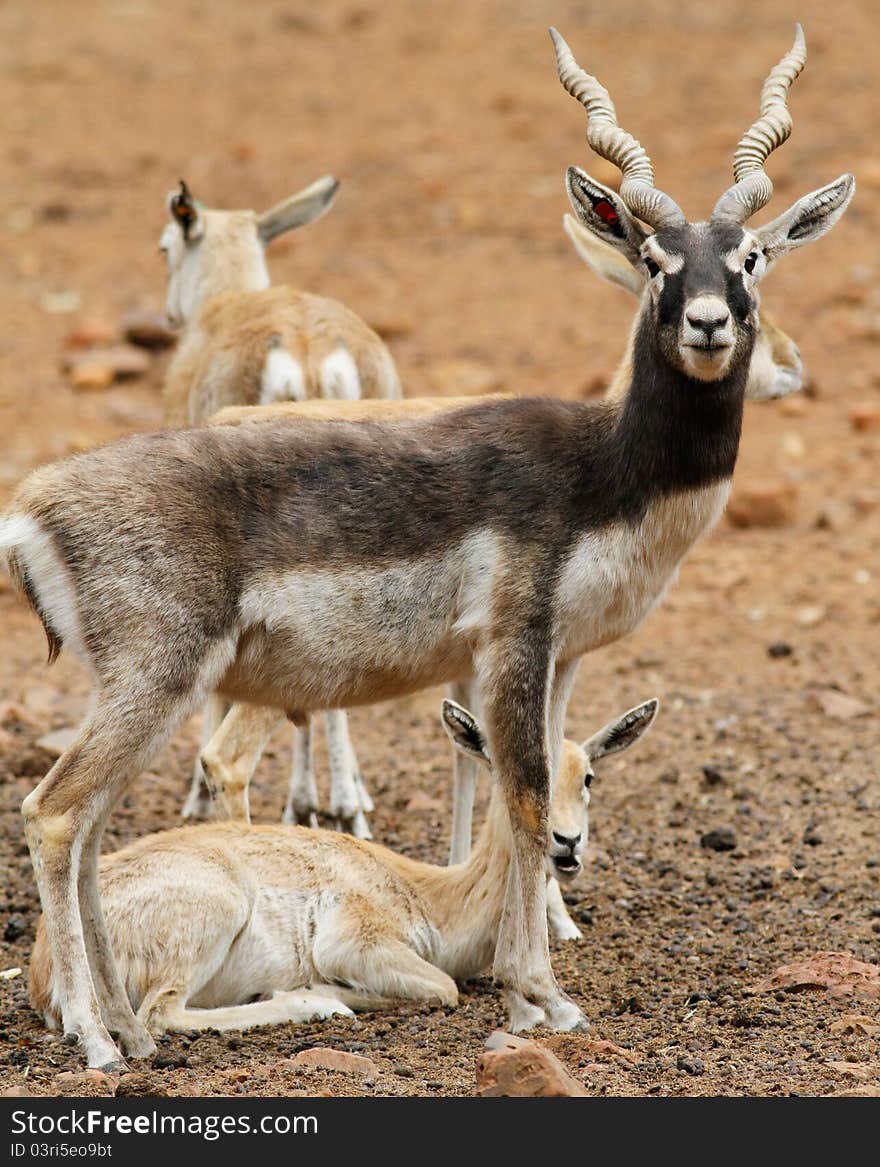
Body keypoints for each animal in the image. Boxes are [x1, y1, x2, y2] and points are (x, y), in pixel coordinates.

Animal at [30, 695, 653, 1036]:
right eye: (506, 774)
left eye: (589, 777)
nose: (566, 843)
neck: (435, 896)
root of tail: (42, 972)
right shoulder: (354, 940)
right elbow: (443, 987)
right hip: (211, 920)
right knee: (161, 1014)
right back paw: (313, 1004)